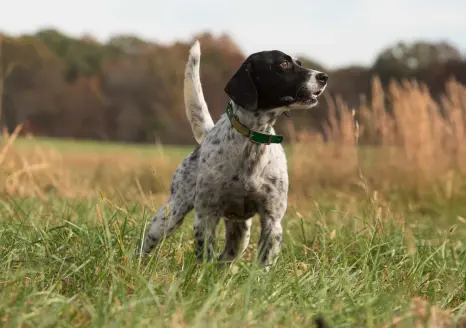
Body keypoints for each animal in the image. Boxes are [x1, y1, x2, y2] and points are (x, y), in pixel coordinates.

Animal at [139, 39, 328, 268]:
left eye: (299, 63)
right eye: (283, 64)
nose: (323, 76)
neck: (253, 141)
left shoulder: (272, 221)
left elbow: (263, 264)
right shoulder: (206, 216)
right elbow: (205, 257)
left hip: (240, 234)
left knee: (224, 259)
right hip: (170, 215)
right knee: (148, 243)